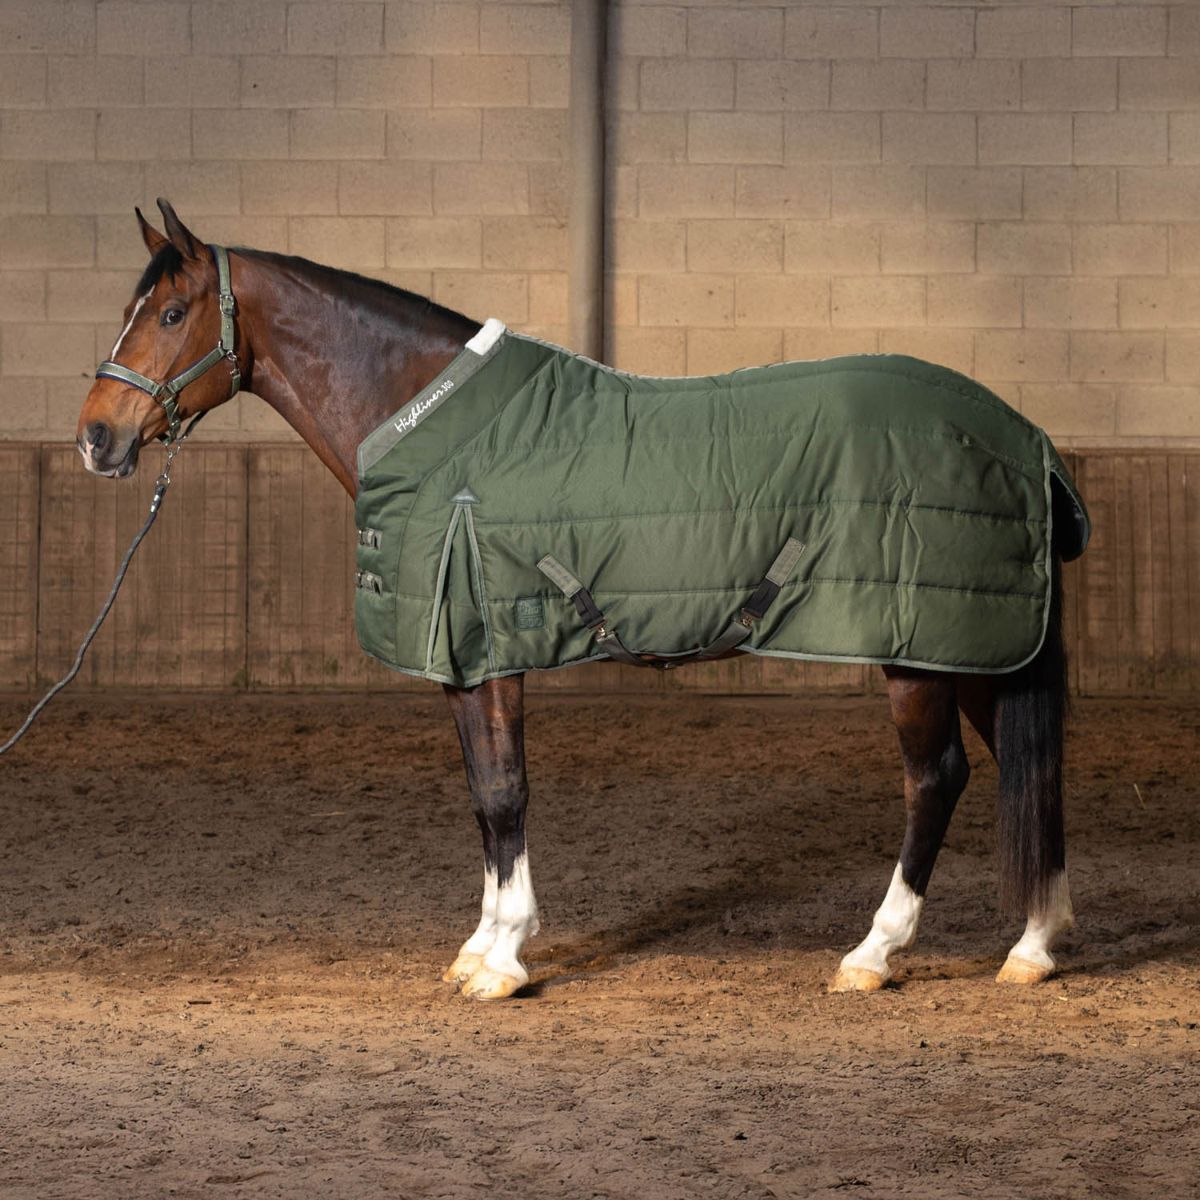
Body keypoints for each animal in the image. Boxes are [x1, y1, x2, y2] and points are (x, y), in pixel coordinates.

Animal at [76, 200, 1083, 1000]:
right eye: (127, 312)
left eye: (171, 312)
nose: (95, 437)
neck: (434, 428)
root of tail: (1019, 433)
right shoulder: (464, 661)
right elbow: (483, 796)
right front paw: (481, 943)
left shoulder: (490, 647)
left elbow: (504, 791)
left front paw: (503, 960)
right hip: (981, 643)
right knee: (1026, 767)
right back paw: (1035, 945)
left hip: (920, 649)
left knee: (937, 778)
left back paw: (874, 953)